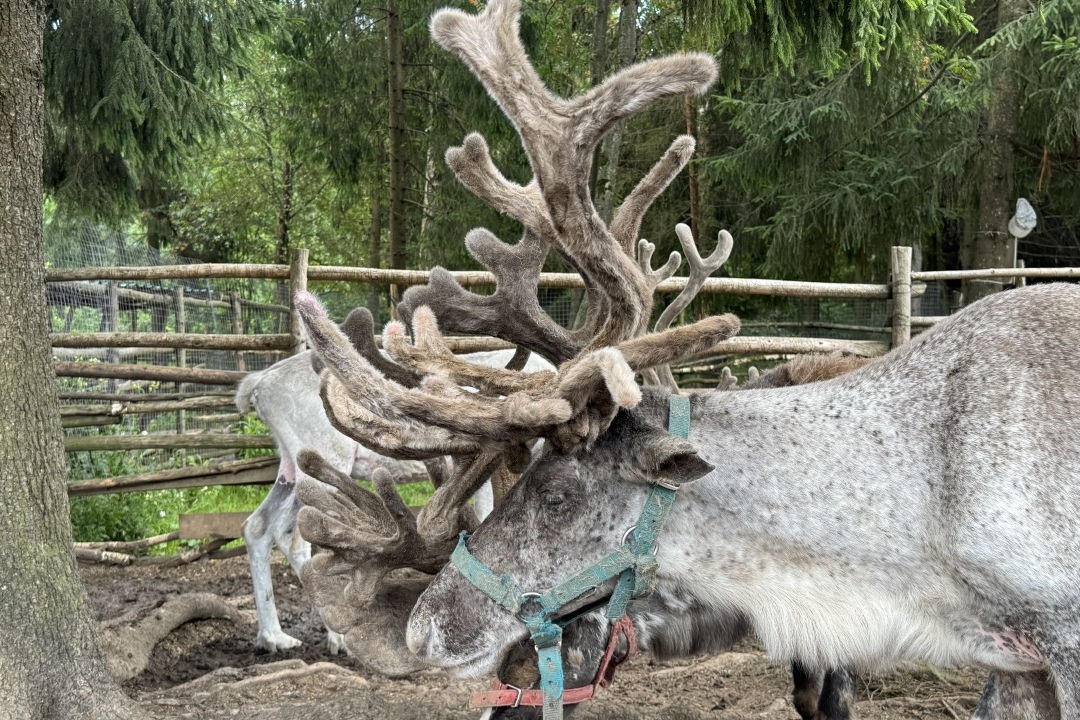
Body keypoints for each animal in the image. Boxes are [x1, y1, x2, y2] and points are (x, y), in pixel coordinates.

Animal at [235, 305, 553, 655]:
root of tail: (257, 386)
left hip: (288, 466)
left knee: (257, 526)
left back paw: (273, 636)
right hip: (326, 452)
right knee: (294, 538)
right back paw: (336, 637)